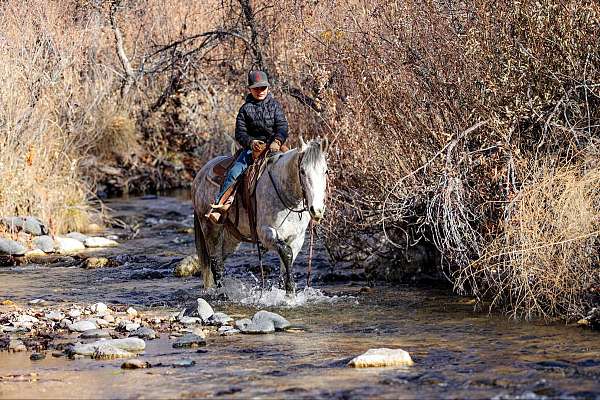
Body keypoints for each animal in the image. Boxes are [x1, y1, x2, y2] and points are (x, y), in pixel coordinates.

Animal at [191, 136, 328, 292]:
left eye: (325, 171)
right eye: (302, 171)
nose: (317, 210)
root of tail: (199, 176)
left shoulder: (297, 238)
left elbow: (286, 266)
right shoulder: (266, 233)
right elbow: (286, 253)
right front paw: (290, 290)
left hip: (230, 237)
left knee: (219, 261)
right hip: (211, 229)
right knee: (216, 265)